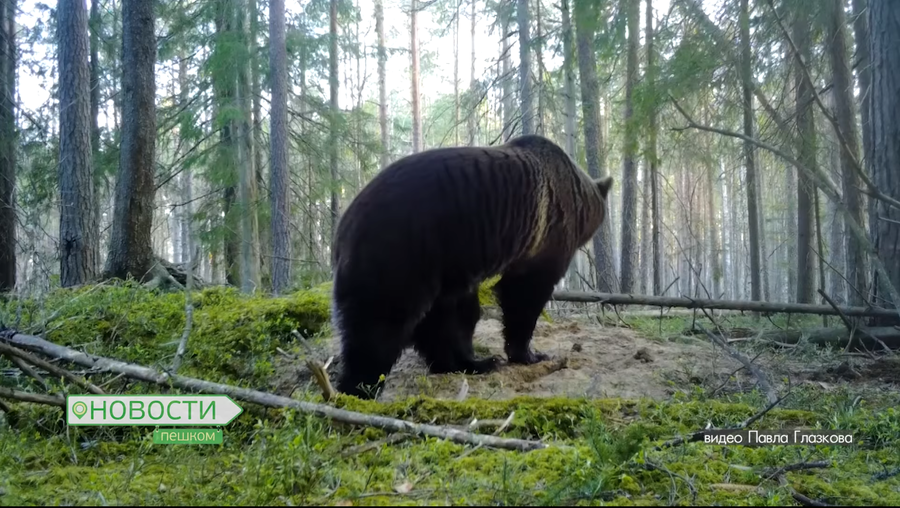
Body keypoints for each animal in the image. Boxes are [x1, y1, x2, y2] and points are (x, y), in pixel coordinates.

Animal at [330, 136, 612, 400]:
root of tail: (343, 226)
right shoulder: (543, 239)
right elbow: (524, 295)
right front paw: (530, 353)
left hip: (437, 263)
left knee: (442, 319)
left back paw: (472, 363)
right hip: (399, 254)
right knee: (379, 326)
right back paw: (359, 388)